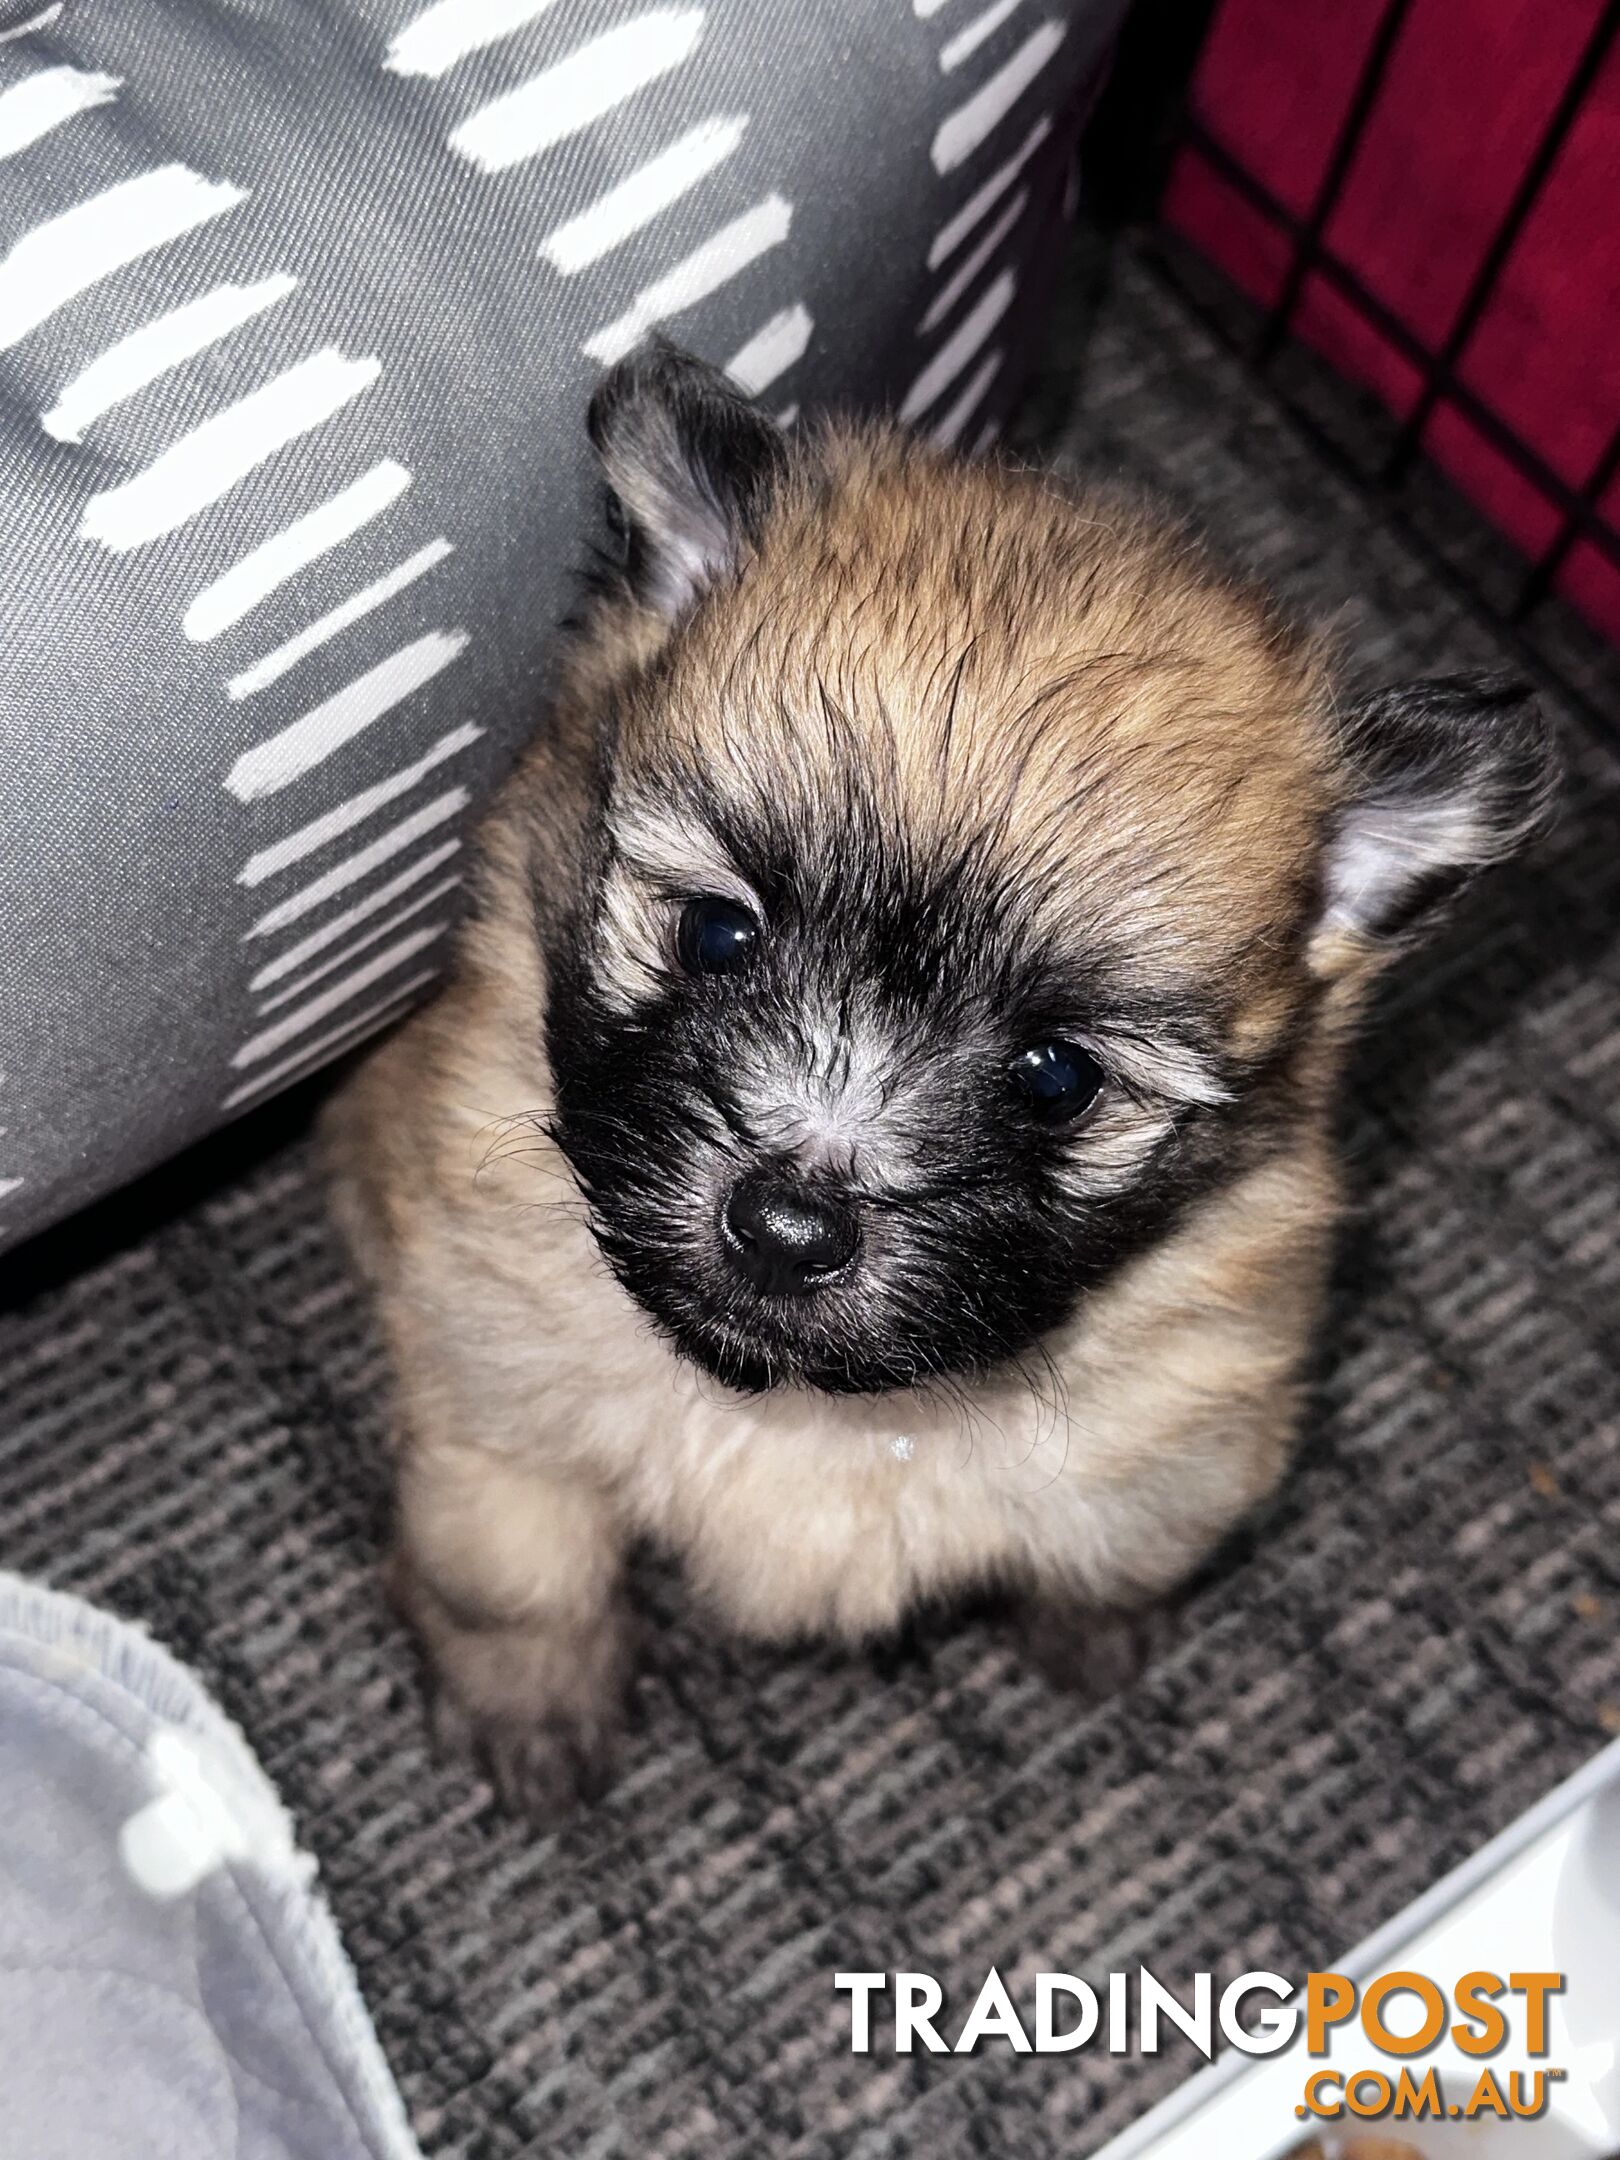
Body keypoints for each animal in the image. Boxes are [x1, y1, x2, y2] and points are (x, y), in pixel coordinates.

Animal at [324, 341, 1555, 1823]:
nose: (787, 1228)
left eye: (1054, 1078)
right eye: (719, 935)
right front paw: (533, 1714)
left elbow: (1122, 1547)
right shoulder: (494, 1389)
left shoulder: (1191, 1430)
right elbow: (514, 1567)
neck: (814, 1407)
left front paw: (1095, 1636)